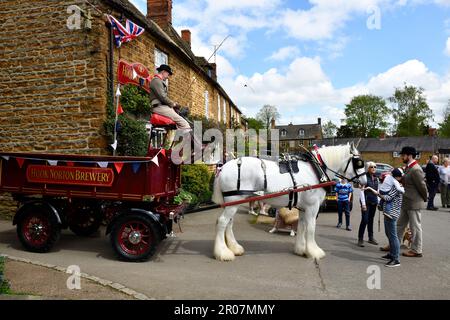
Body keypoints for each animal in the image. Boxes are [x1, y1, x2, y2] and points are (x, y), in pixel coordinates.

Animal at [211, 144, 366, 262]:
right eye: (359, 162)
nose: (365, 182)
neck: (317, 170)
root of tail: (222, 168)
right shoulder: (312, 207)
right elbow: (311, 228)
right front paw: (314, 251)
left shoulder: (303, 208)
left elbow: (302, 226)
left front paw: (301, 249)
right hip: (233, 201)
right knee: (222, 221)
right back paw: (223, 253)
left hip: (234, 202)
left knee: (228, 223)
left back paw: (234, 248)